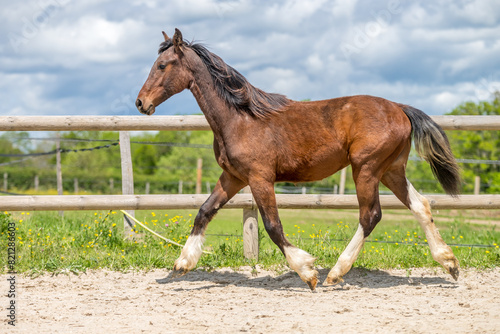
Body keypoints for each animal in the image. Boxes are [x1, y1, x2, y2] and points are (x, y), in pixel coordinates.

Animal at [136, 28, 460, 290]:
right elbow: (204, 212)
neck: (240, 119)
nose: (141, 103)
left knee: (370, 215)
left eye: (162, 65)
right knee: (421, 205)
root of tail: (400, 108)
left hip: (366, 169)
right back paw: (450, 263)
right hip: (391, 170)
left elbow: (272, 225)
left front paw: (307, 272)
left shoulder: (259, 178)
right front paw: (182, 264)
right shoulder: (233, 177)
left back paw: (335, 273)